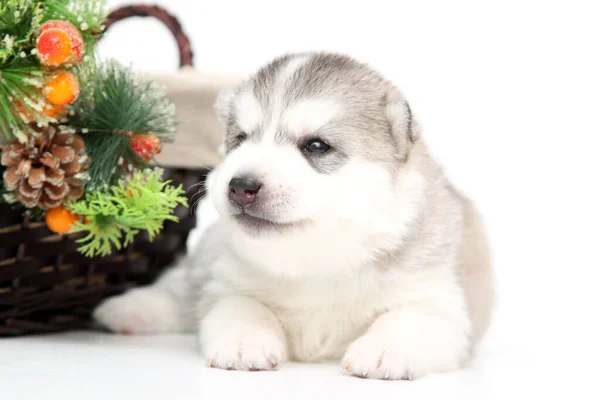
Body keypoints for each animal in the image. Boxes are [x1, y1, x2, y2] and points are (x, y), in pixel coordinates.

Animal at [95, 53, 496, 382]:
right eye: (240, 139)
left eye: (316, 146)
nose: (240, 186)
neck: (315, 260)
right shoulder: (229, 284)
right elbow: (242, 307)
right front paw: (245, 341)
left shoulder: (439, 302)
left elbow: (406, 319)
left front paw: (384, 350)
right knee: (180, 290)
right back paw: (128, 310)